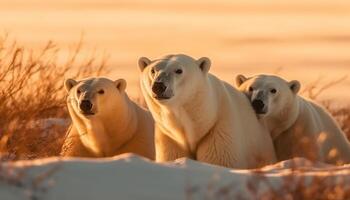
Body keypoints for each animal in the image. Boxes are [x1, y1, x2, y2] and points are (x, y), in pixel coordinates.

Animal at [138, 54, 278, 168]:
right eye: (153, 70)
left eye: (179, 70)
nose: (158, 86)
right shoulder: (170, 138)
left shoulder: (220, 131)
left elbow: (220, 162)